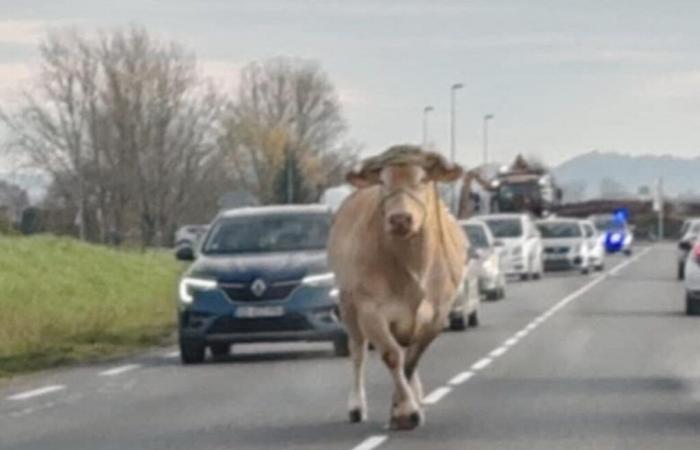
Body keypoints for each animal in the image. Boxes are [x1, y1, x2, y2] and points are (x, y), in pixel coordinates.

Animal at [326, 146, 468, 430]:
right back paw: (356, 405)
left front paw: (402, 407)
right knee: (358, 352)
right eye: (383, 181)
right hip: (348, 306)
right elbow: (392, 356)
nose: (400, 219)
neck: (413, 267)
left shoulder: (437, 315)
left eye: (423, 179)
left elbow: (411, 361)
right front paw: (406, 411)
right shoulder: (370, 311)